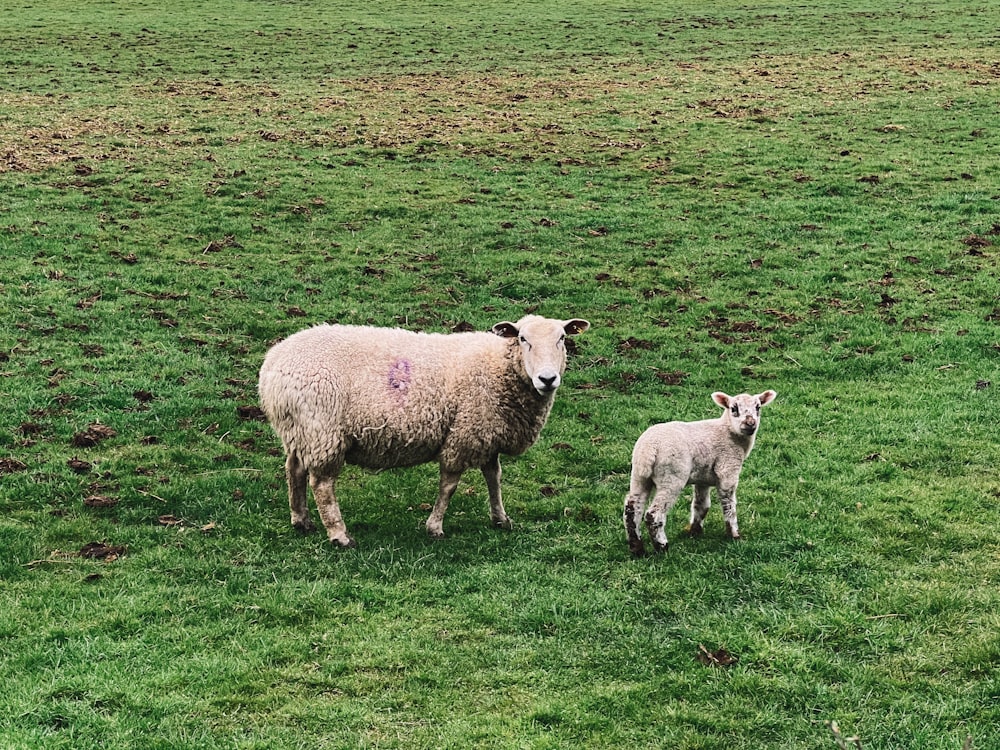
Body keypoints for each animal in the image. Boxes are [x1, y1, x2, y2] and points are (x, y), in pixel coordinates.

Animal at [256, 314, 592, 548]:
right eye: (522, 338)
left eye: (562, 337)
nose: (547, 379)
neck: (499, 367)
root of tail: (273, 365)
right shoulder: (463, 434)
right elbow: (449, 485)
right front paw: (435, 527)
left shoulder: (487, 432)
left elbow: (493, 477)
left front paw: (501, 518)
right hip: (323, 431)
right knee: (322, 484)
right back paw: (339, 535)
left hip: (299, 430)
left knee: (294, 470)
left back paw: (301, 520)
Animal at [620, 390, 776, 556]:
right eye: (733, 408)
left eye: (758, 407)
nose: (750, 423)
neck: (728, 432)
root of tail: (649, 449)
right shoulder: (728, 469)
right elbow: (729, 504)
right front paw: (734, 535)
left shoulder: (703, 478)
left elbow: (701, 504)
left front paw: (695, 531)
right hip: (671, 476)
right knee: (653, 514)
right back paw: (662, 547)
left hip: (639, 475)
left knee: (632, 508)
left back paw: (637, 548)